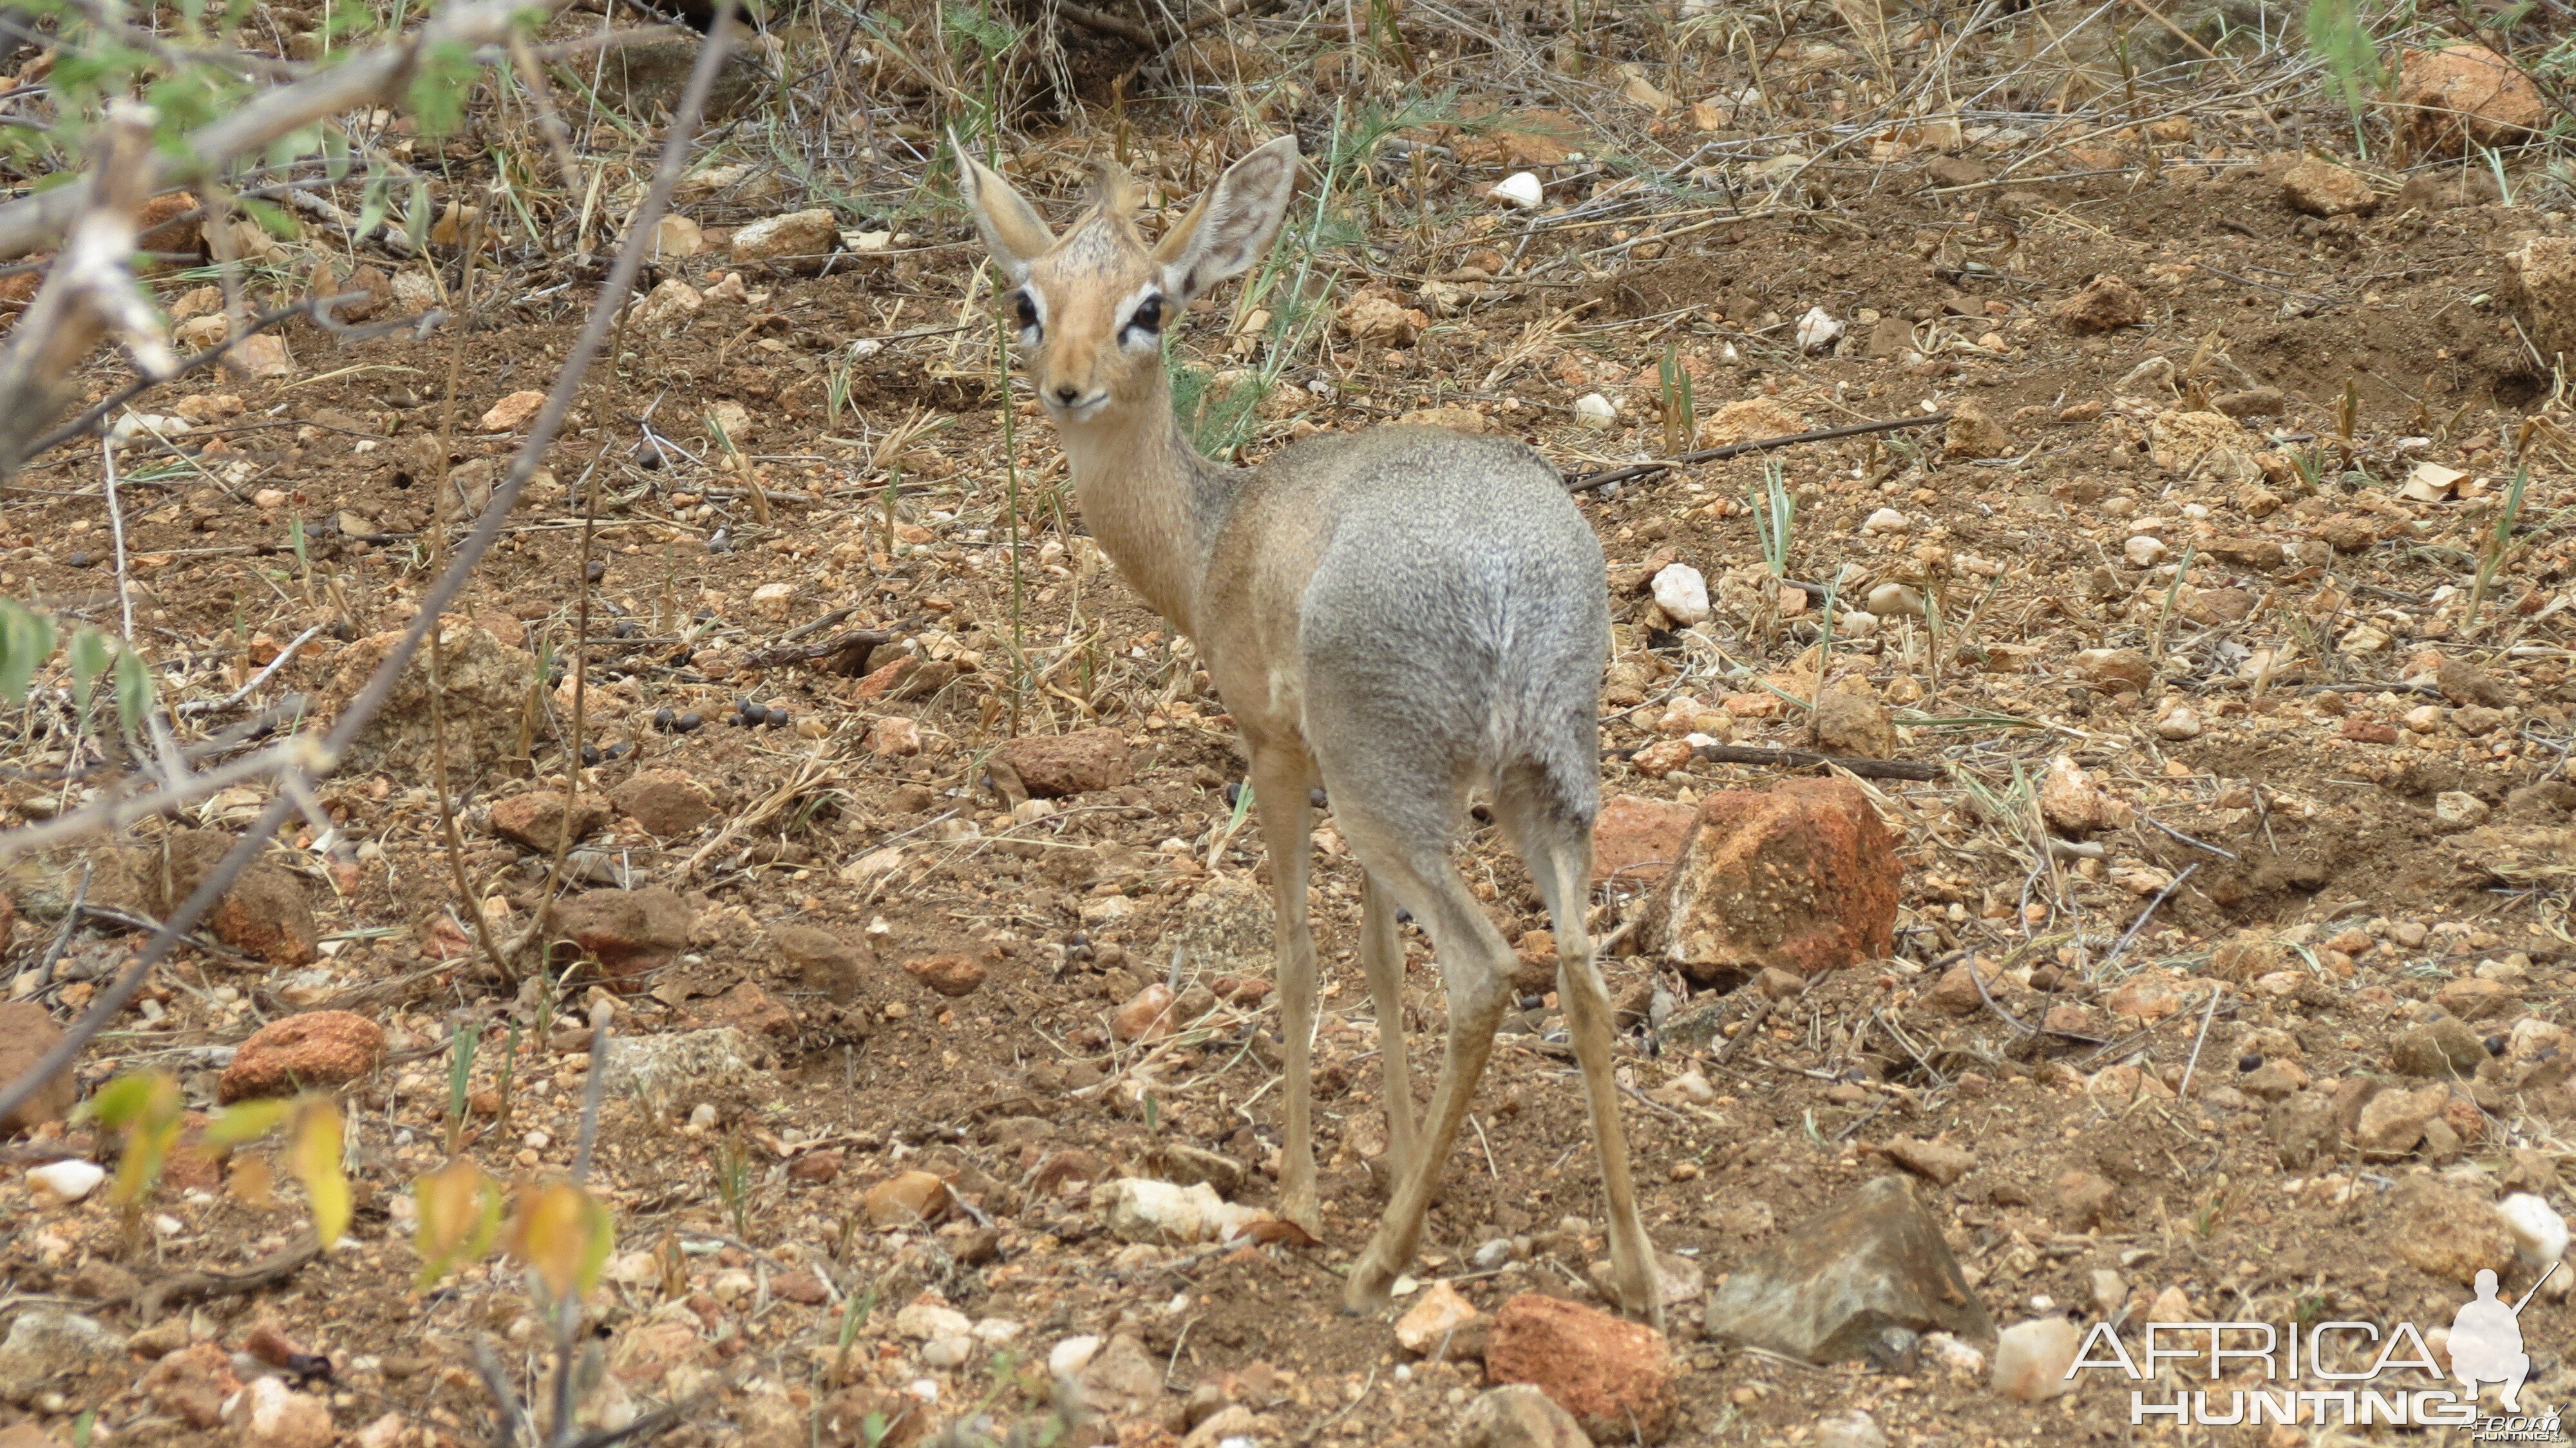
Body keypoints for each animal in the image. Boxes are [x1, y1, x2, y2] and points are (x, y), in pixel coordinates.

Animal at [958, 135, 1659, 1319]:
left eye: (1150, 305)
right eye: (1028, 299)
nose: (1070, 384)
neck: (1210, 540)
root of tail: (1507, 583)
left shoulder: (1280, 752)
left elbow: (1296, 954)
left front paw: (1302, 1194)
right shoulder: (1345, 779)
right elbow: (1379, 960)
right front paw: (1408, 1153)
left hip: (1403, 796)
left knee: (1484, 971)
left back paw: (1378, 1264)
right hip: (1538, 782)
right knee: (1578, 968)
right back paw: (1635, 1269)